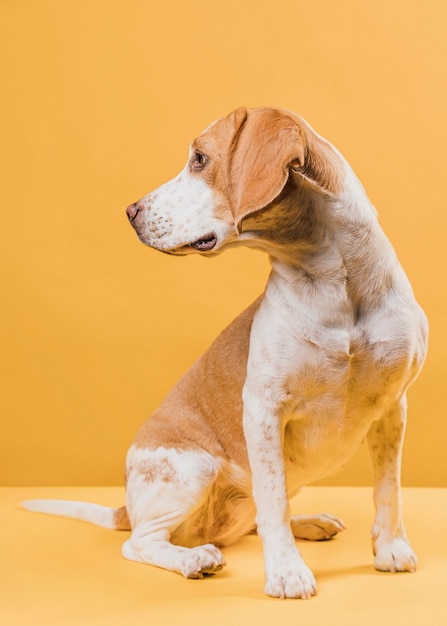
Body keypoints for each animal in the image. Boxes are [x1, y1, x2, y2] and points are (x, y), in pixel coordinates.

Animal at [22, 108, 428, 600]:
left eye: (199, 158)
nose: (130, 212)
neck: (337, 287)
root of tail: (128, 507)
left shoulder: (392, 409)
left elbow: (388, 489)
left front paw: (390, 549)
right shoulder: (263, 410)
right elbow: (272, 502)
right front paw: (287, 573)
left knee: (249, 521)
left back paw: (307, 523)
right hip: (193, 469)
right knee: (142, 542)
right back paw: (194, 558)